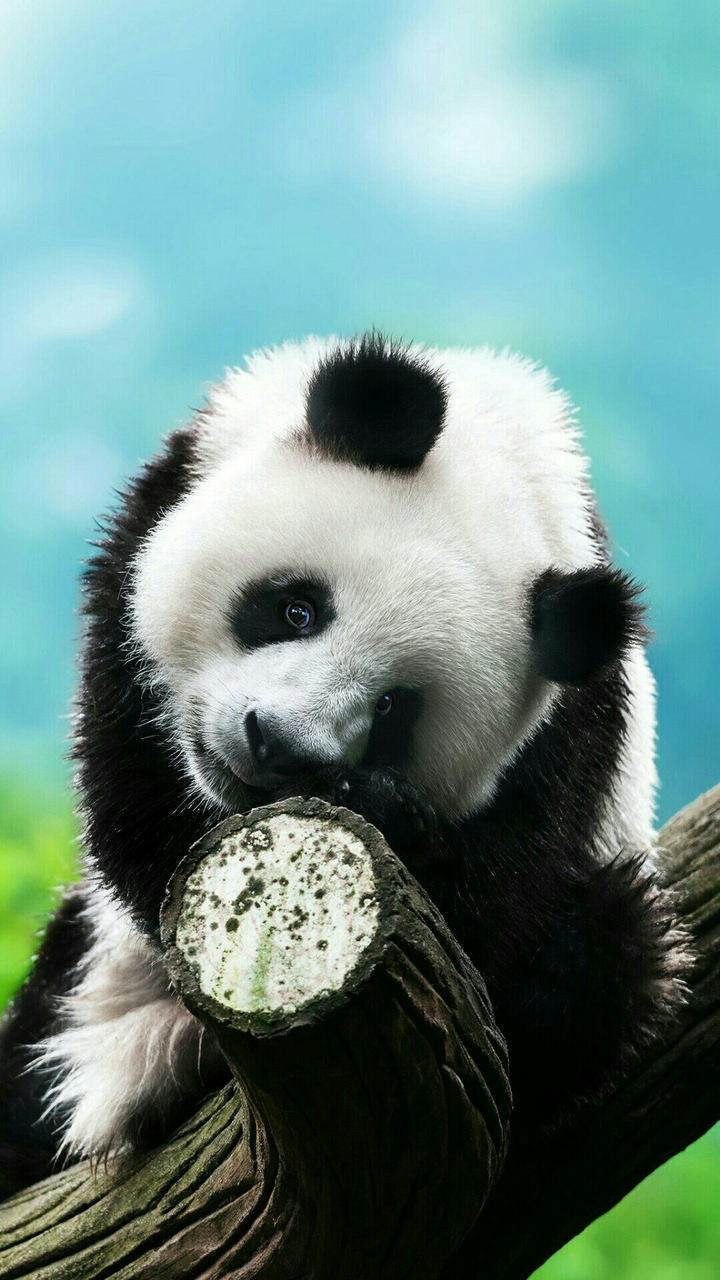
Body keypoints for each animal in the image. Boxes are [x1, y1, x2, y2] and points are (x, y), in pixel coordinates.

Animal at [0, 332, 688, 1195]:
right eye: (298, 609)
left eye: (395, 709)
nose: (273, 744)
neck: (507, 456)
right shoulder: (158, 516)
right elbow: (139, 815)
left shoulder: (567, 743)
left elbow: (488, 922)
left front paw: (388, 813)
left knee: (607, 956)